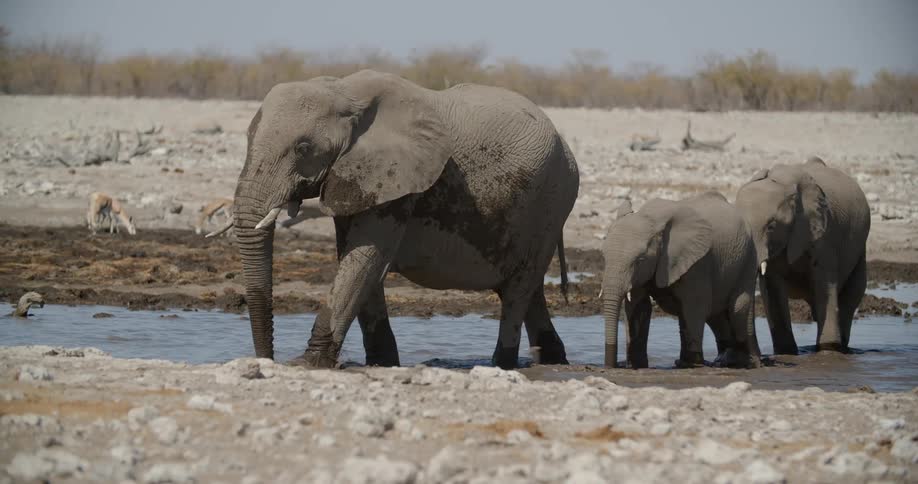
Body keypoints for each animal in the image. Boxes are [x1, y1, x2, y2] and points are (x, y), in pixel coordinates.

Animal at [221, 70, 579, 369]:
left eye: (303, 148)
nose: (266, 359)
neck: (344, 90)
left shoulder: (399, 177)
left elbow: (363, 260)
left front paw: (307, 364)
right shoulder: (356, 178)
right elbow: (356, 261)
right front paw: (382, 363)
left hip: (553, 199)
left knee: (519, 289)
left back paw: (502, 364)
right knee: (527, 289)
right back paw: (552, 360)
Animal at [601, 193, 761, 369]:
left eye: (639, 260)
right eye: (604, 256)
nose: (612, 365)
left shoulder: (698, 262)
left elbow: (695, 305)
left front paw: (692, 364)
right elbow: (639, 306)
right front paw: (636, 365)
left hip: (749, 256)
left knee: (737, 307)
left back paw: (744, 362)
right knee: (716, 315)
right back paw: (724, 360)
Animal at [735, 157, 870, 354]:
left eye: (771, 226)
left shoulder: (824, 234)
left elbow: (825, 285)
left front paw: (828, 349)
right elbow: (772, 289)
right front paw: (786, 352)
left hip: (860, 247)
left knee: (851, 296)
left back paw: (842, 348)